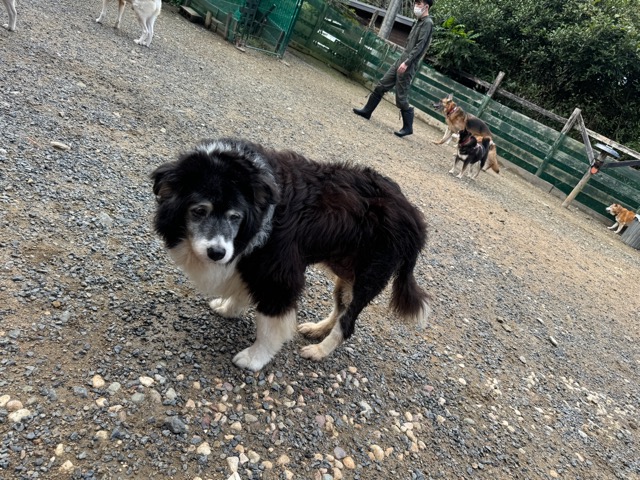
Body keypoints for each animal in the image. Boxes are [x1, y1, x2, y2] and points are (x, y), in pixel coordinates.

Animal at [151, 138, 430, 372]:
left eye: (235, 217)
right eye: (199, 211)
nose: (217, 253)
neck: (260, 205)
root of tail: (414, 217)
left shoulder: (278, 273)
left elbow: (269, 323)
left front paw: (255, 358)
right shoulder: (250, 259)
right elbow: (242, 290)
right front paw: (229, 308)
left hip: (368, 278)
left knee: (347, 324)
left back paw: (318, 350)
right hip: (346, 274)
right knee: (340, 309)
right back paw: (317, 329)